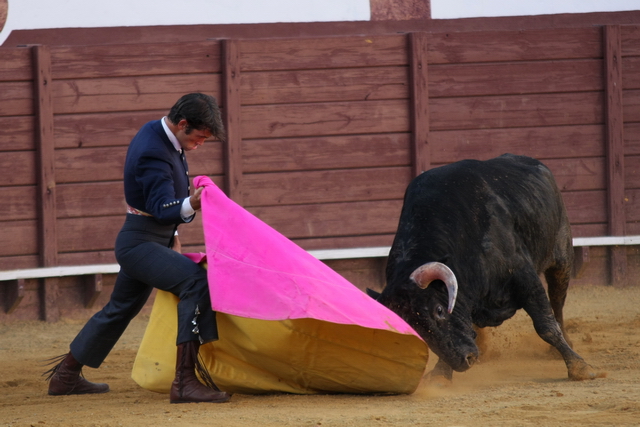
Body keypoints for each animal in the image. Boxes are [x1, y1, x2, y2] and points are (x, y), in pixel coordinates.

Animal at [368, 155, 604, 382]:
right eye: (415, 330)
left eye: (439, 310)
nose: (466, 360)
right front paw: (441, 375)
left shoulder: (525, 277)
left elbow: (546, 326)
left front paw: (580, 368)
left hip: (562, 258)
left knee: (557, 302)